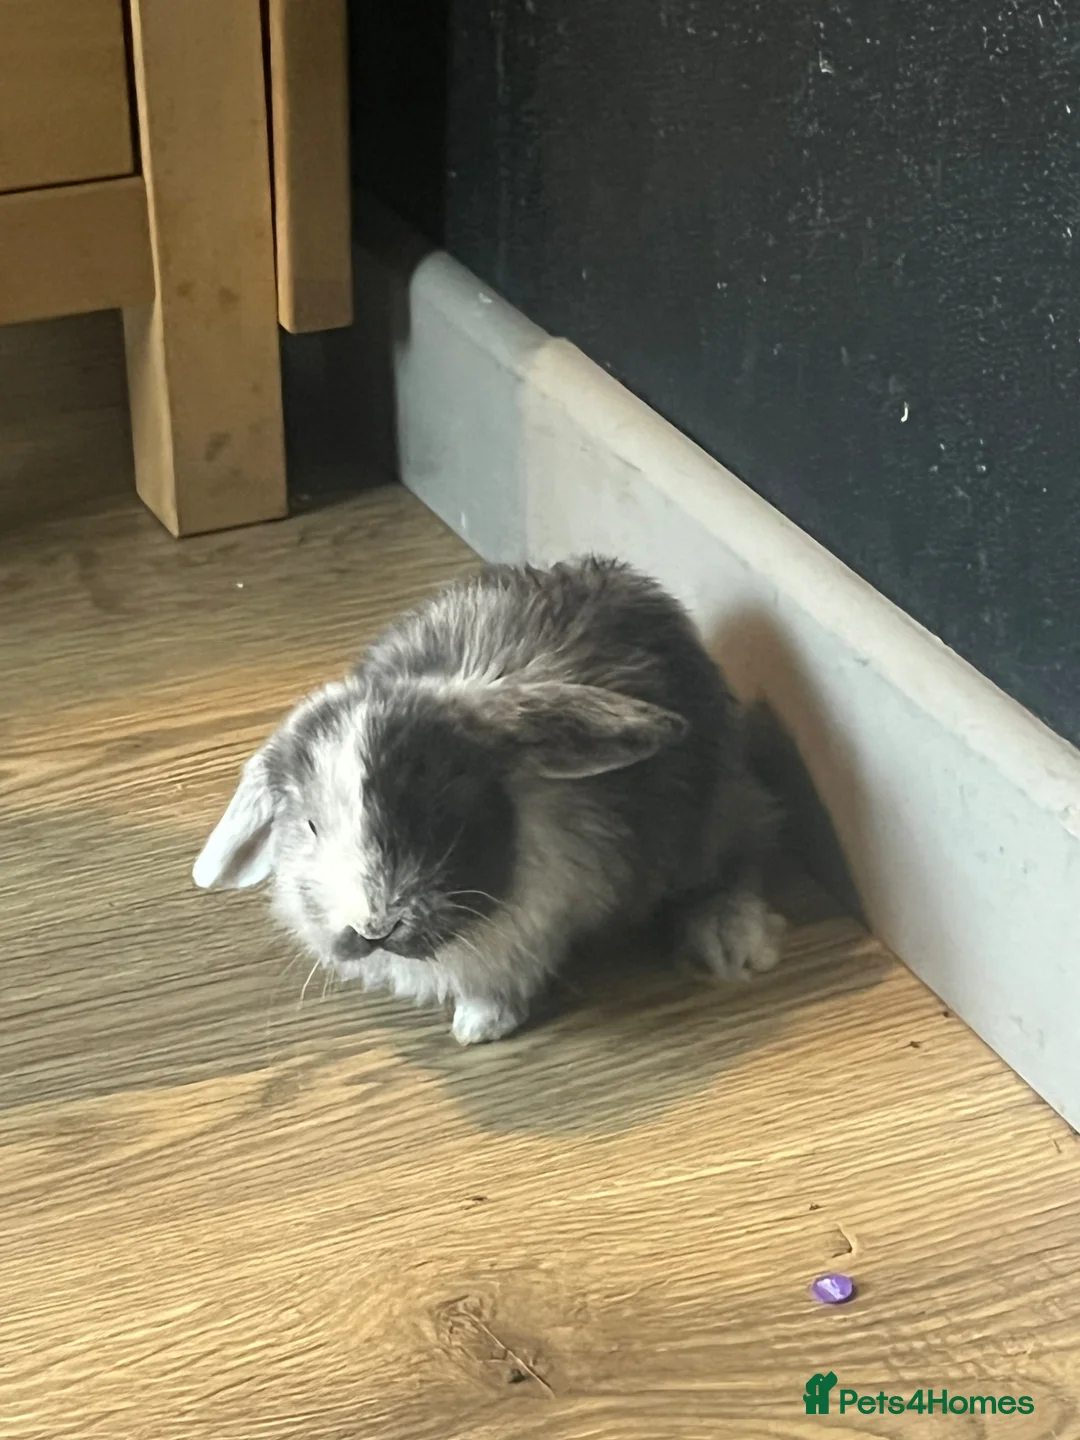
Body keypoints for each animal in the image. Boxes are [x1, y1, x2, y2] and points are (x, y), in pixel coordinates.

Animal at [192, 556, 786, 1045]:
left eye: (433, 809)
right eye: (312, 825)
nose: (375, 927)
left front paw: (478, 1028)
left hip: (715, 815)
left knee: (746, 851)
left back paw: (731, 938)